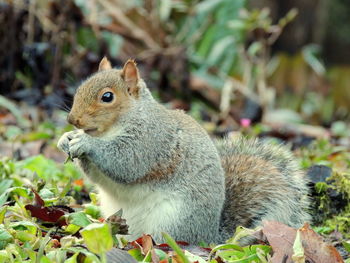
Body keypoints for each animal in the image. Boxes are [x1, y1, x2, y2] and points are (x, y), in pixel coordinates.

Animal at [57, 57, 312, 245]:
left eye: (107, 97)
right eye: (80, 88)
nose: (72, 119)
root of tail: (209, 237)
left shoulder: (152, 140)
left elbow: (126, 162)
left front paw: (85, 142)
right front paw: (66, 139)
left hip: (171, 223)